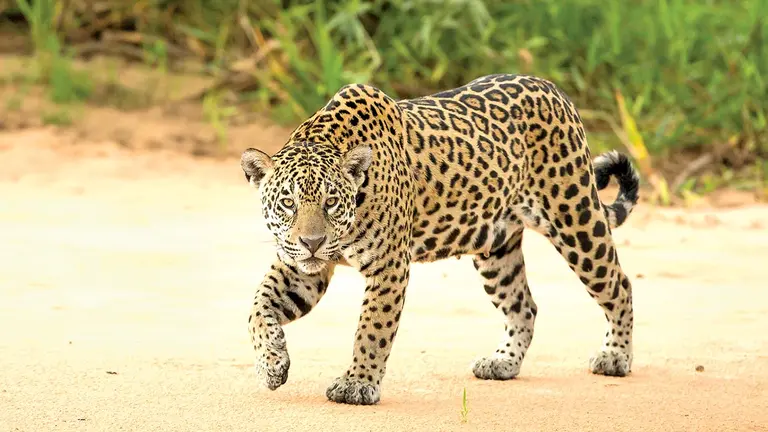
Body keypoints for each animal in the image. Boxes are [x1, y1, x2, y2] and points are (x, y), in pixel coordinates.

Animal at [240, 73, 640, 406]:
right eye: (288, 203)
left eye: (331, 202)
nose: (313, 242)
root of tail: (554, 89)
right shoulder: (300, 268)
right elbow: (259, 306)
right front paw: (271, 364)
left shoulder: (389, 266)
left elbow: (372, 329)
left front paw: (357, 384)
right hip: (497, 251)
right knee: (523, 305)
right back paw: (503, 363)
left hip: (575, 219)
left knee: (618, 285)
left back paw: (615, 357)